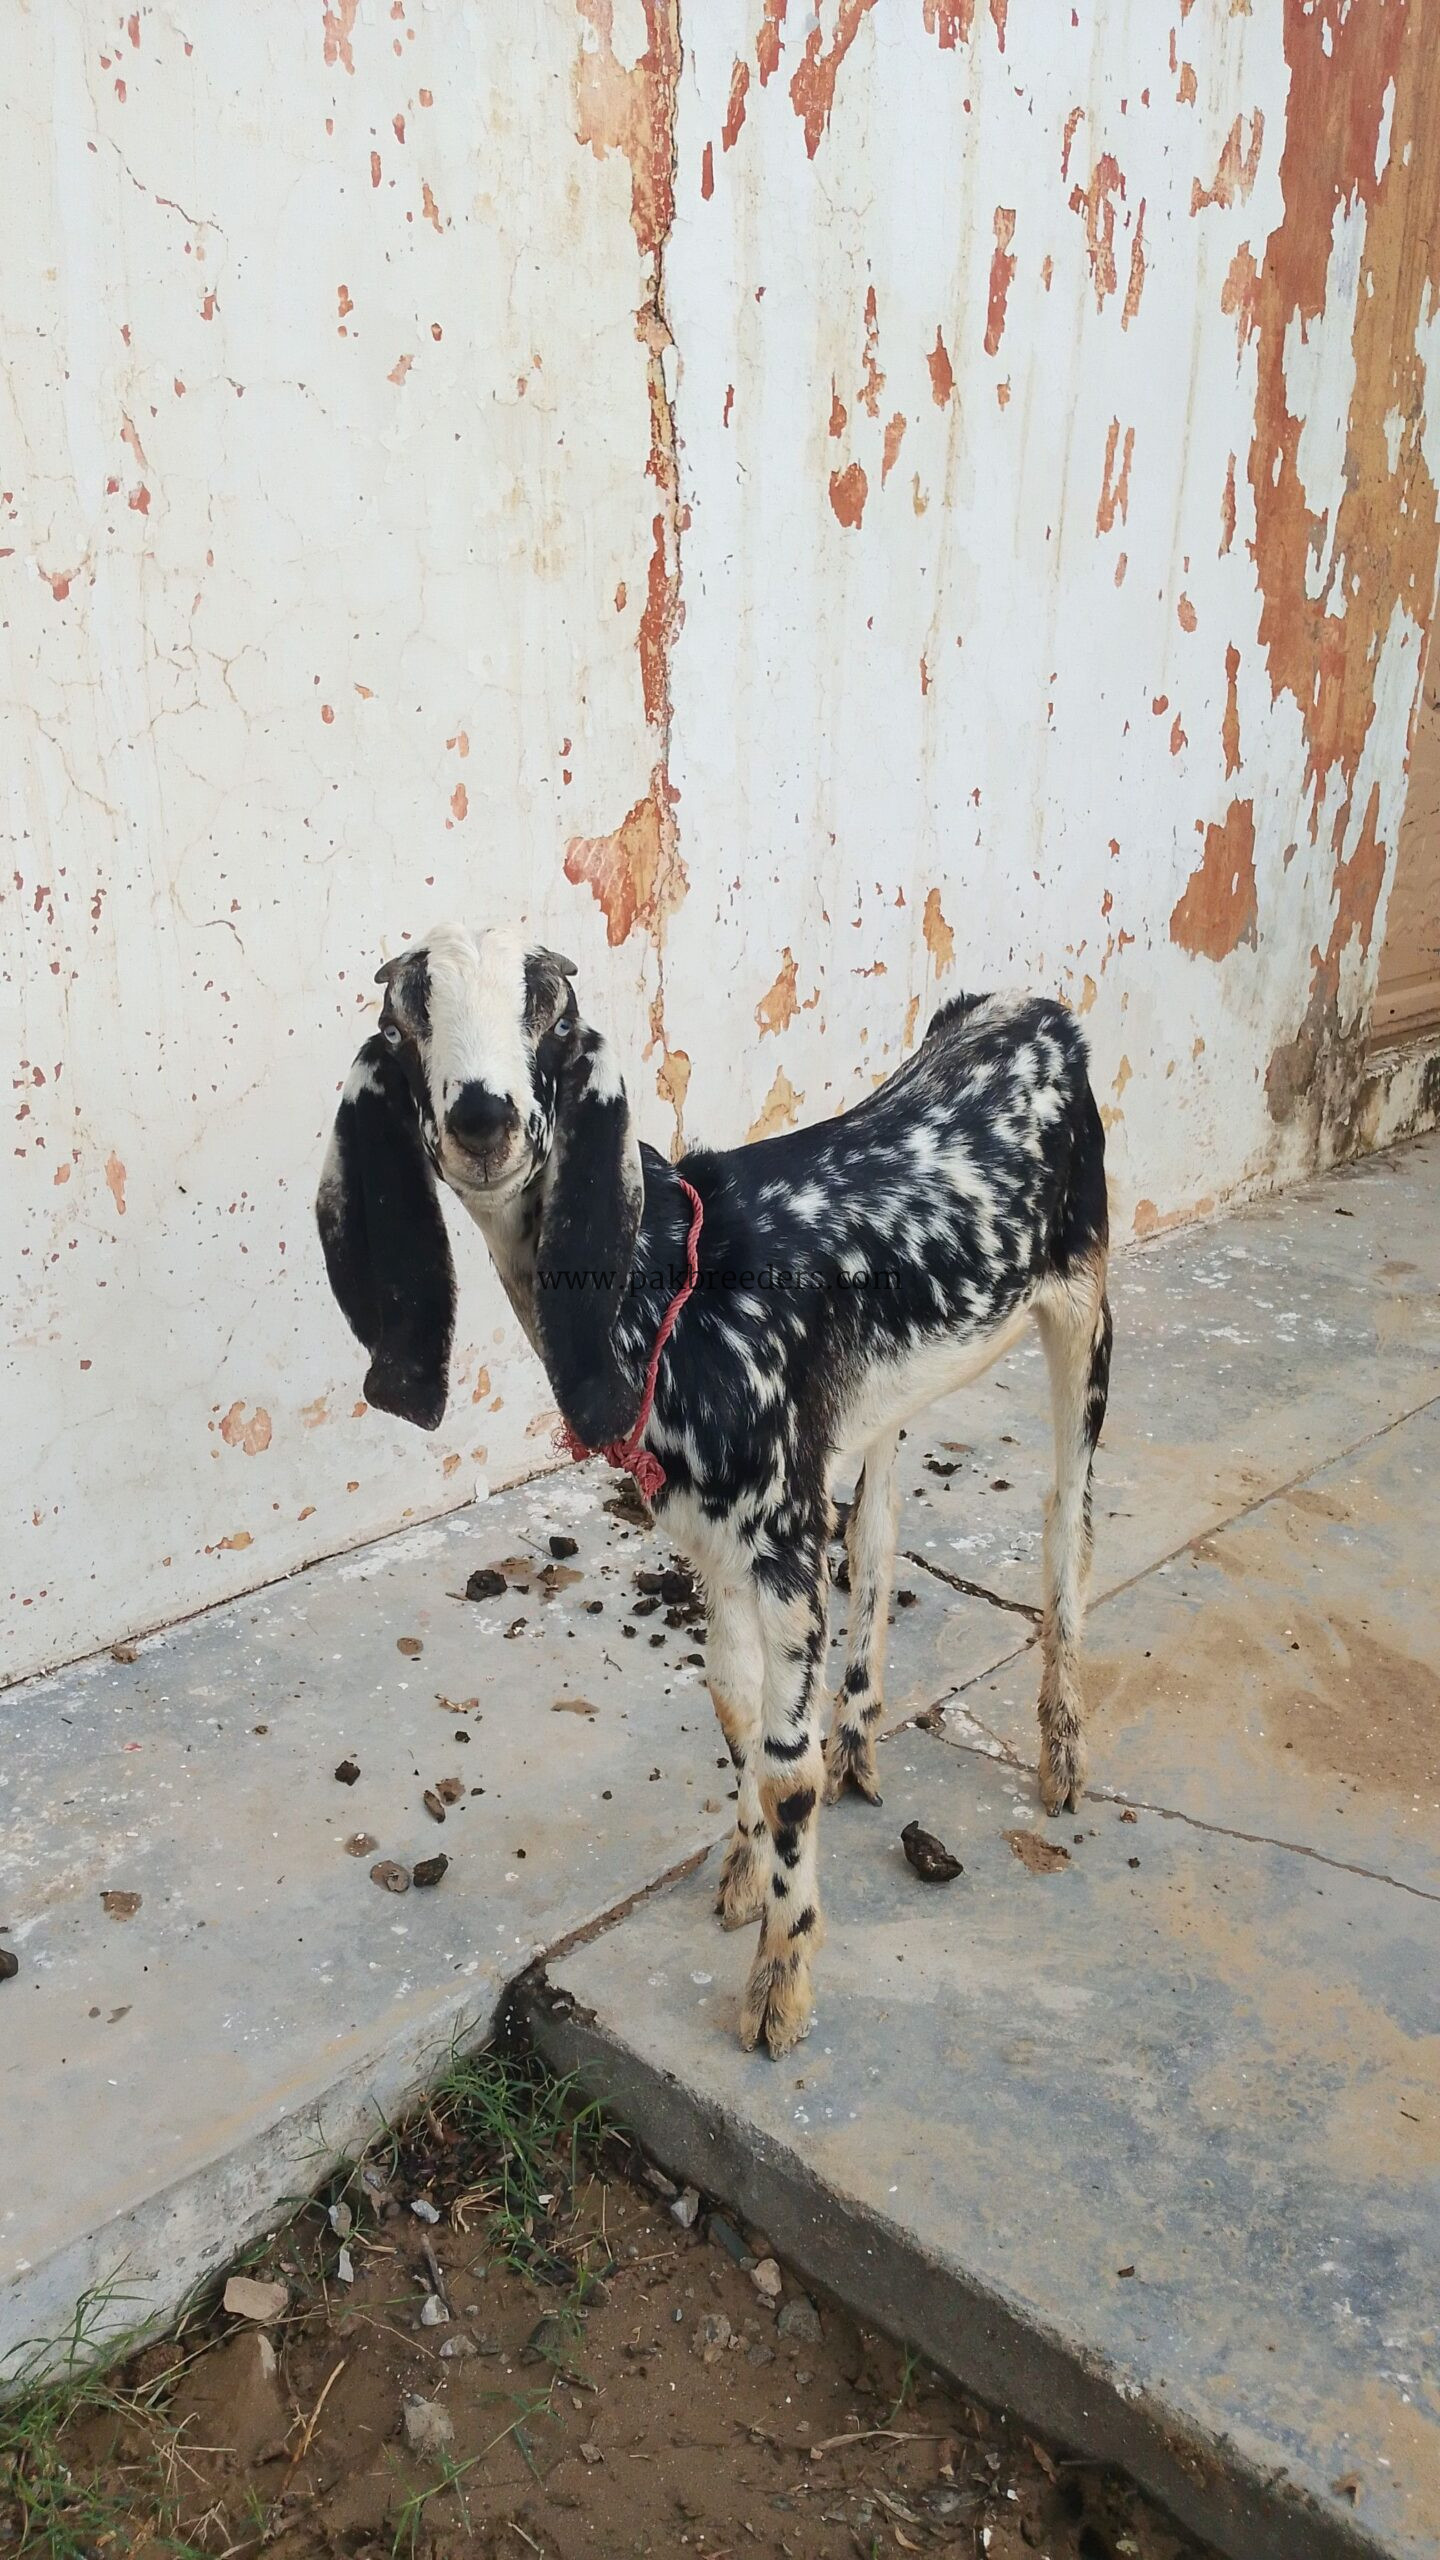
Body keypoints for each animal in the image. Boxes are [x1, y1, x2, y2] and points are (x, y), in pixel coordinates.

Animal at [316, 924, 1112, 2057]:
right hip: (886, 1391)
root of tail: (1031, 1008)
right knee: (879, 1528)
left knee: (1065, 1524)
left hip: (1083, 1298)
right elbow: (734, 1704)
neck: (677, 1282)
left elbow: (784, 1766)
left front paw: (781, 1981)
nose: (482, 1116)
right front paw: (742, 1870)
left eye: (550, 1011)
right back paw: (862, 1734)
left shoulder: (778, 1532)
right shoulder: (710, 1533)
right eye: (407, 1015)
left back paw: (1061, 1754)